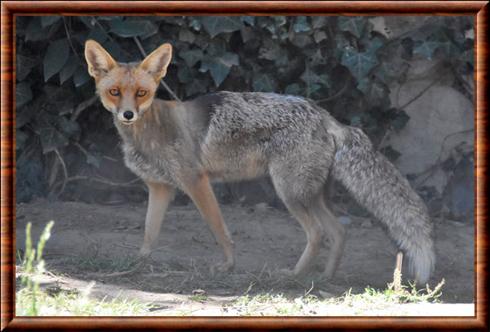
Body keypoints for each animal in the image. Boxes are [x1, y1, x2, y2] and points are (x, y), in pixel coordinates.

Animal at [85, 39, 436, 282]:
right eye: (115, 92)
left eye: (141, 93)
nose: (128, 115)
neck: (147, 132)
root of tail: (326, 116)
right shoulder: (160, 188)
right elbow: (149, 231)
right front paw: (139, 262)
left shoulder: (196, 182)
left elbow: (219, 229)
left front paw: (227, 266)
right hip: (310, 195)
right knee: (338, 232)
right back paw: (324, 278)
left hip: (290, 193)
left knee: (317, 233)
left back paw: (294, 276)